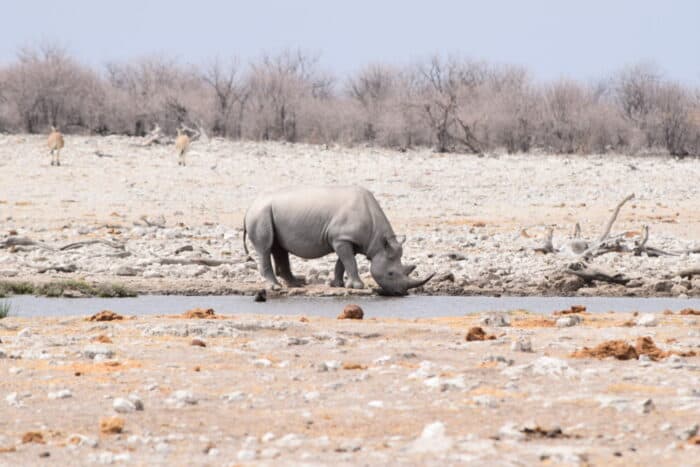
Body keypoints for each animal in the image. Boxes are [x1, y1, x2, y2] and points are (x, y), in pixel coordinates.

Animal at [243, 186, 434, 296]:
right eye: (391, 274)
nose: (401, 292)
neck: (378, 243)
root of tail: (251, 206)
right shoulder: (342, 238)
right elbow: (349, 262)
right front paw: (358, 286)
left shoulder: (348, 240)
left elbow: (342, 263)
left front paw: (338, 285)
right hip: (260, 214)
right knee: (265, 247)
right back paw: (276, 288)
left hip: (269, 212)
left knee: (279, 248)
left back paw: (297, 284)